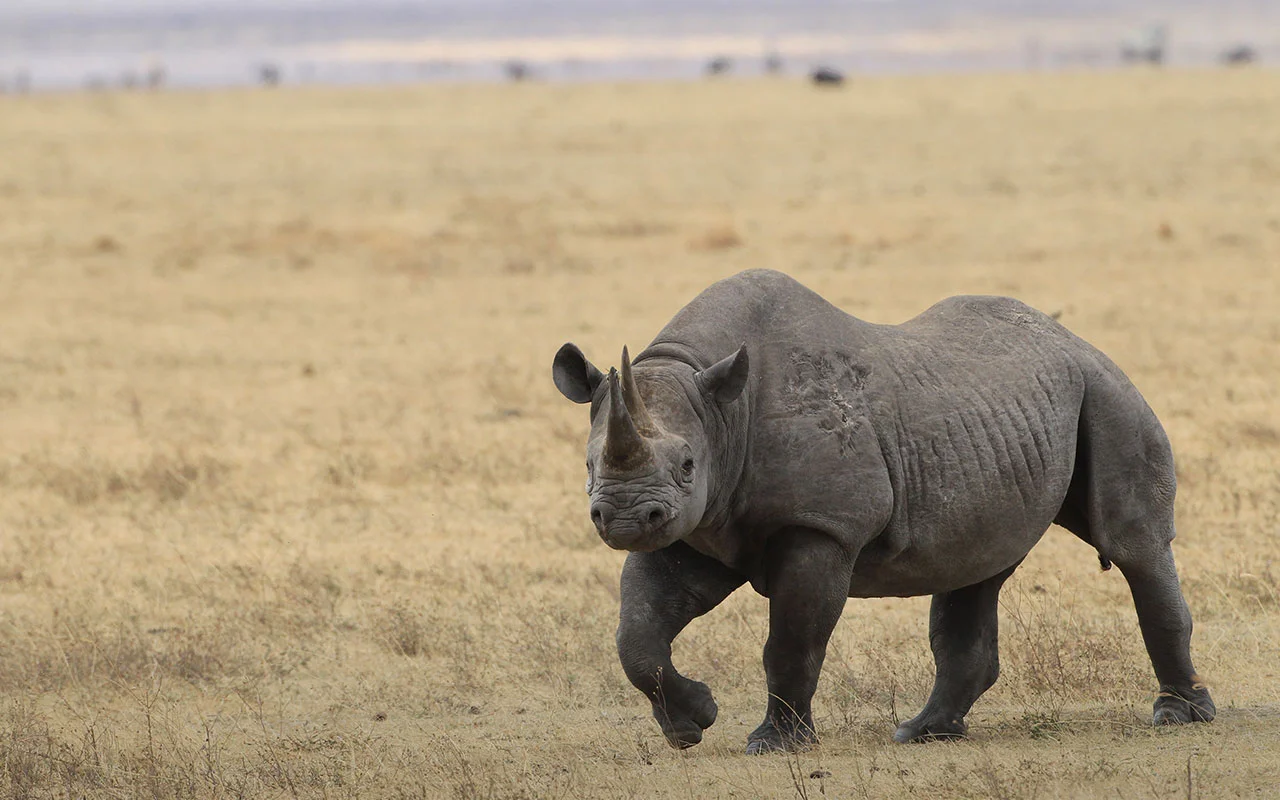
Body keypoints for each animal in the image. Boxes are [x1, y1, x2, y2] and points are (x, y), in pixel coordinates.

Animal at [552, 269, 1214, 752]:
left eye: (688, 464)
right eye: (587, 467)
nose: (627, 519)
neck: (718, 407)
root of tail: (1074, 339)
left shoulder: (821, 525)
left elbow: (791, 640)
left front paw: (775, 745)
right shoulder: (697, 525)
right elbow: (637, 631)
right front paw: (691, 725)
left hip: (1106, 389)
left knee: (1134, 547)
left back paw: (1179, 715)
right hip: (1005, 420)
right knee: (975, 566)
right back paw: (923, 733)